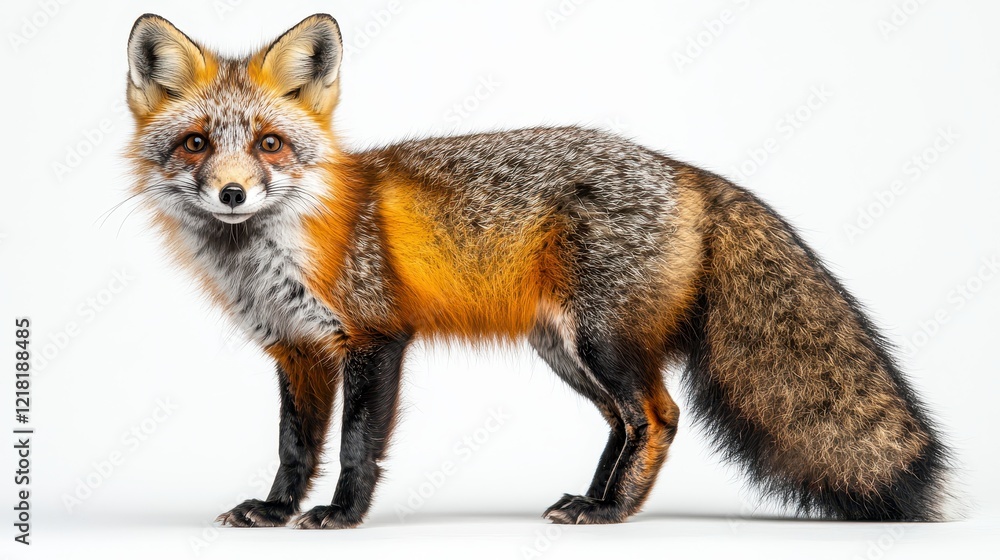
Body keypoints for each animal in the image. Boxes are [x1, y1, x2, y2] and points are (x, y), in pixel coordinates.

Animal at [124, 13, 952, 528]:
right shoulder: (296, 351)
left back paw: (612, 512)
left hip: (603, 343)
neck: (275, 256)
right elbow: (294, 449)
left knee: (660, 416)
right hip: (566, 351)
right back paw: (591, 497)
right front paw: (274, 511)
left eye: (269, 144)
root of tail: (683, 170)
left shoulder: (375, 339)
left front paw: (341, 516)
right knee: (625, 423)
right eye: (197, 144)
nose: (232, 194)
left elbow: (356, 446)